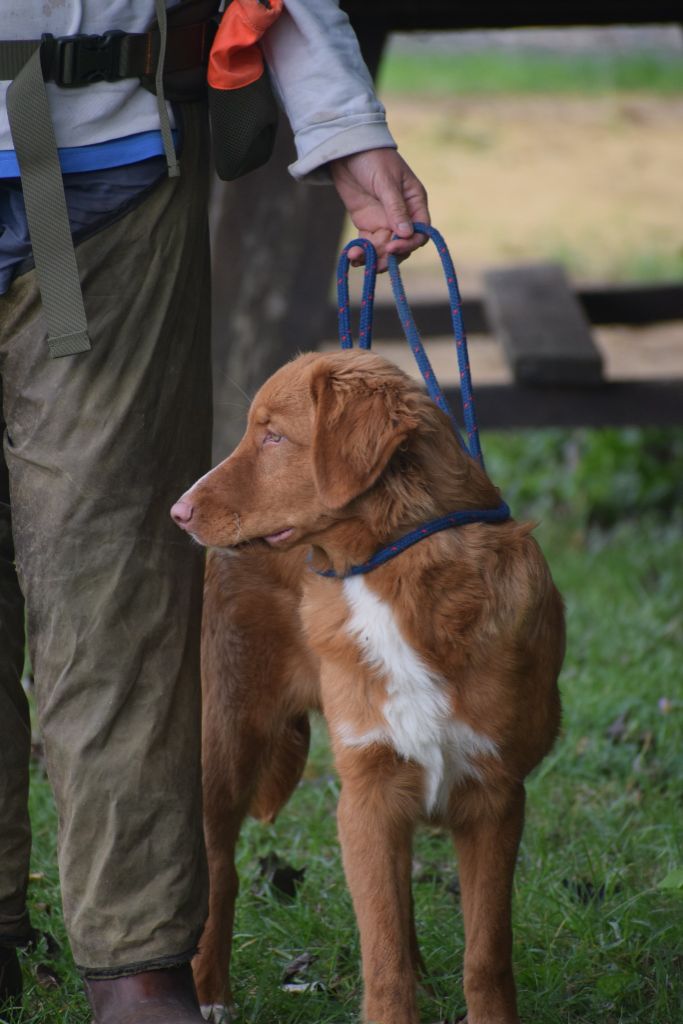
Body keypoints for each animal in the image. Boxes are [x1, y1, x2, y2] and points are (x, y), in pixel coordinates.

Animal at [172, 350, 565, 1024]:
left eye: (274, 436)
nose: (177, 512)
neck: (393, 577)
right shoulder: (365, 795)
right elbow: (382, 962)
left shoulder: (493, 797)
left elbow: (485, 955)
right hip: (225, 743)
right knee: (220, 871)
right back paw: (209, 994)